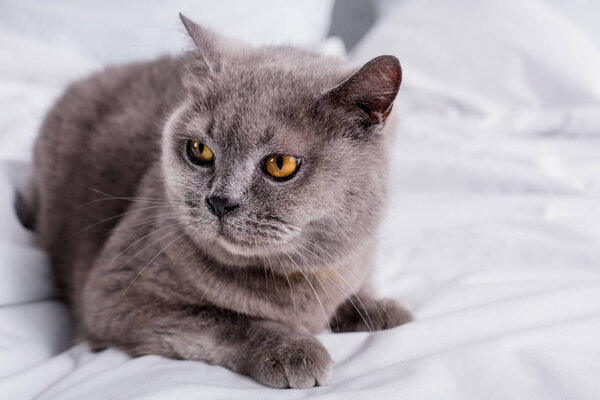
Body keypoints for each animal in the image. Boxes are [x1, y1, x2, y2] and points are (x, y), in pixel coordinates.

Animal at [28, 14, 412, 388]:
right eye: (199, 150)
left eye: (281, 164)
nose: (220, 201)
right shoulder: (116, 296)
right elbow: (228, 321)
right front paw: (293, 349)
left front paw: (382, 312)